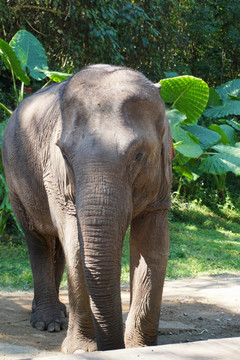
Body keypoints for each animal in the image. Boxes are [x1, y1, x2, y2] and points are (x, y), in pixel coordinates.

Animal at [1, 63, 174, 352]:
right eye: (64, 153)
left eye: (138, 155)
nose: (114, 347)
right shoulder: (54, 175)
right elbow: (76, 246)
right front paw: (83, 349)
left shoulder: (162, 178)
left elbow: (154, 247)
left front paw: (141, 347)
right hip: (14, 180)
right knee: (38, 239)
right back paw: (47, 322)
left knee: (55, 245)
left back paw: (56, 313)